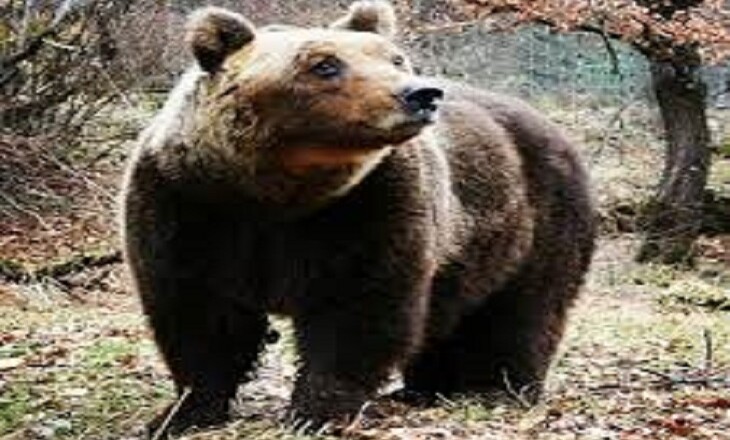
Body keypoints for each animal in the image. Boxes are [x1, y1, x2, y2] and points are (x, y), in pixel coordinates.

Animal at [121, 1, 595, 437]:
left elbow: (357, 308)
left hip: (536, 215)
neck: (276, 194)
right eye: (325, 64)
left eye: (395, 58)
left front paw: (318, 410)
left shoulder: (366, 206)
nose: (422, 94)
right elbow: (198, 314)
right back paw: (423, 389)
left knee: (524, 308)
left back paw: (499, 389)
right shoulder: (191, 205)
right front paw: (182, 412)